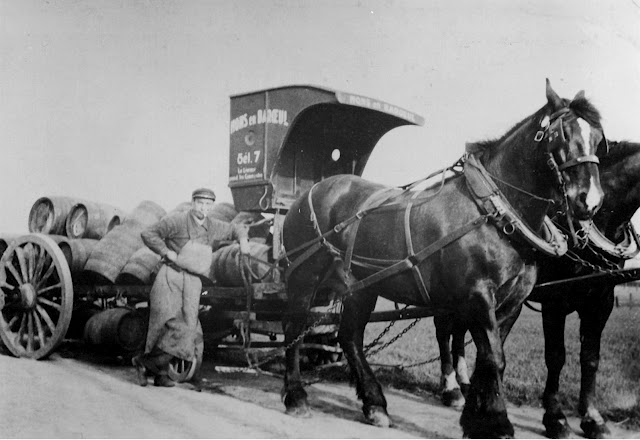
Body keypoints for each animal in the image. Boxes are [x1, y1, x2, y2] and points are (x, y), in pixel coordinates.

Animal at [280, 80, 605, 438]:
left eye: (598, 139)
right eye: (562, 134)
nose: (589, 201)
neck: (496, 212)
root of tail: (313, 191)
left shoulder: (512, 303)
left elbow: (487, 358)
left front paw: (475, 418)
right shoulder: (478, 295)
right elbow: (494, 358)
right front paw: (497, 421)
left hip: (361, 287)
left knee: (349, 337)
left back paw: (374, 404)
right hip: (304, 278)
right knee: (293, 328)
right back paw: (296, 396)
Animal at [433, 142, 640, 439]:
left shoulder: (601, 301)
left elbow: (590, 358)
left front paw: (592, 417)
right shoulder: (555, 301)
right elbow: (556, 357)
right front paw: (555, 417)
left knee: (460, 331)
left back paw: (463, 382)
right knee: (443, 329)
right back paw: (450, 387)